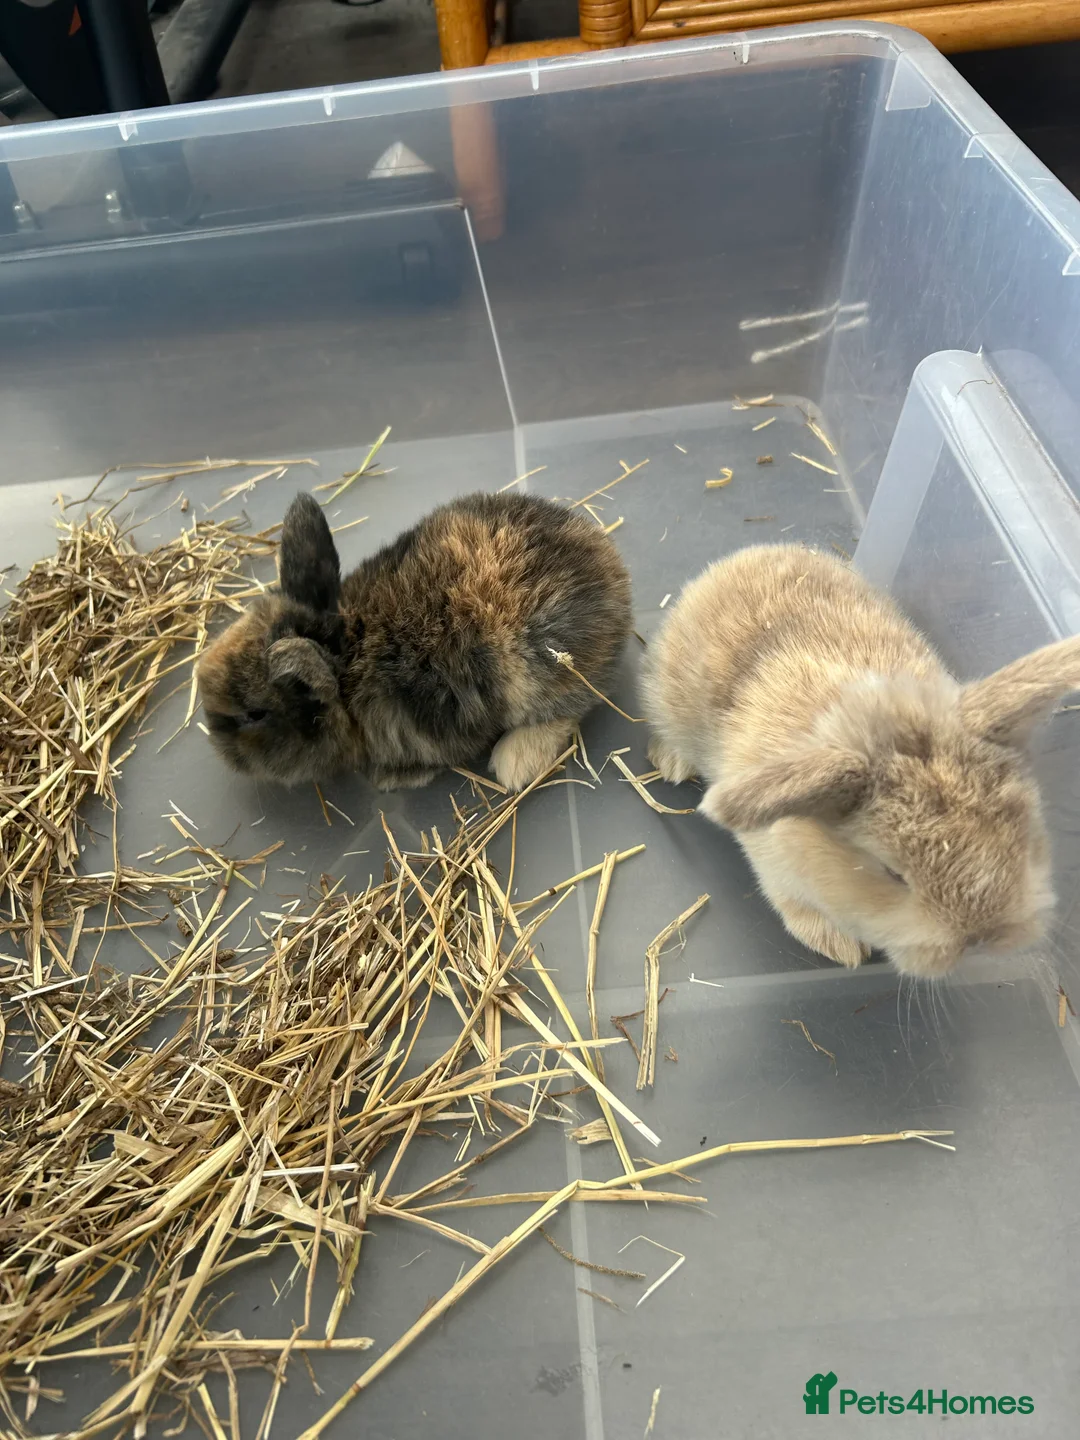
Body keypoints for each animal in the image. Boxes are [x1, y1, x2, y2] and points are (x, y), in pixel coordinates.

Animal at [198, 489, 632, 792]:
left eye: (254, 714)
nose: (214, 741)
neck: (346, 654)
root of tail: (614, 571)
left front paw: (394, 781)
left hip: (539, 673)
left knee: (570, 709)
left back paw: (514, 764)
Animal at [640, 543, 1080, 978]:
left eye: (1020, 835)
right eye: (893, 873)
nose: (981, 937)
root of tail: (745, 555)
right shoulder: (774, 868)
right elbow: (797, 908)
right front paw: (844, 949)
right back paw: (671, 764)